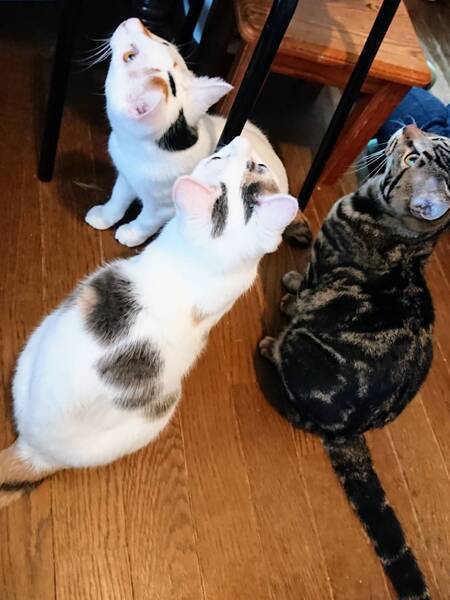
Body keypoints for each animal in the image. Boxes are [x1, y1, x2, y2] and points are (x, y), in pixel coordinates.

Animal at [85, 18, 307, 247]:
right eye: (164, 41)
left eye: (130, 56)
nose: (133, 21)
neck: (134, 149)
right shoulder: (127, 176)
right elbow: (118, 197)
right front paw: (104, 216)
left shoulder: (164, 208)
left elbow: (146, 221)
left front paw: (131, 234)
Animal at [259, 125, 450, 599]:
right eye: (430, 140)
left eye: (414, 157)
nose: (408, 126)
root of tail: (352, 429)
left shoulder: (322, 265)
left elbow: (304, 287)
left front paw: (289, 292)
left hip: (301, 345)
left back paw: (270, 343)